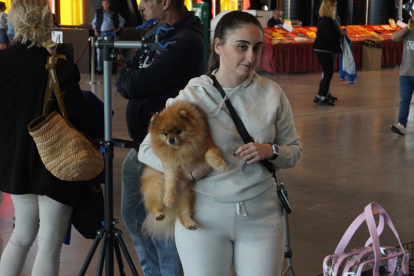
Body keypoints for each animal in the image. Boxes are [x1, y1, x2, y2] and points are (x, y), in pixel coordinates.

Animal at [142, 99, 226, 239]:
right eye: (165, 133)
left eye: (178, 131)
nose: (170, 139)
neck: (181, 149)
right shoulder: (170, 166)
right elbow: (171, 182)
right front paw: (169, 198)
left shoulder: (208, 146)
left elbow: (210, 154)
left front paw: (219, 164)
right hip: (157, 186)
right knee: (153, 203)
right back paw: (158, 213)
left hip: (186, 196)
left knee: (183, 213)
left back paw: (189, 223)